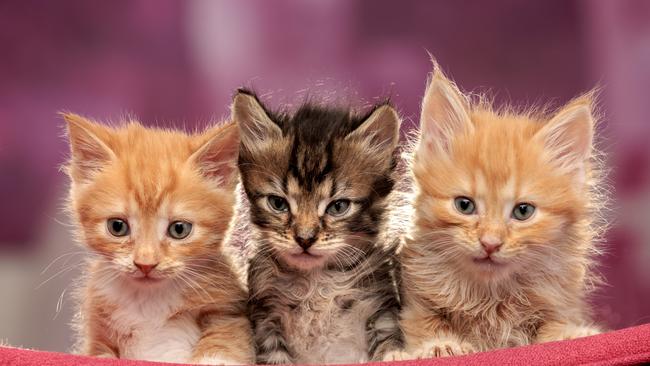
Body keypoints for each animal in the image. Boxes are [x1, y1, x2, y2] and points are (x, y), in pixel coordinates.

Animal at [61, 113, 253, 364]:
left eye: (179, 229)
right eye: (117, 227)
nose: (145, 264)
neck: (149, 301)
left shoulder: (229, 309)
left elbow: (226, 336)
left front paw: (213, 358)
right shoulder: (98, 329)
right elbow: (98, 352)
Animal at [233, 91, 402, 364]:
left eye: (338, 206)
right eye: (278, 203)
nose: (305, 239)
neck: (317, 282)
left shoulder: (378, 300)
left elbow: (386, 334)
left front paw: (394, 354)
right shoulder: (266, 314)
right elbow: (276, 355)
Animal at [392, 63, 604, 358]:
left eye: (523, 211)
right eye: (464, 205)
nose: (490, 244)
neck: (491, 297)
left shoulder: (557, 304)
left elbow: (552, 327)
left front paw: (573, 335)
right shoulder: (416, 300)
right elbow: (424, 323)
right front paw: (440, 345)